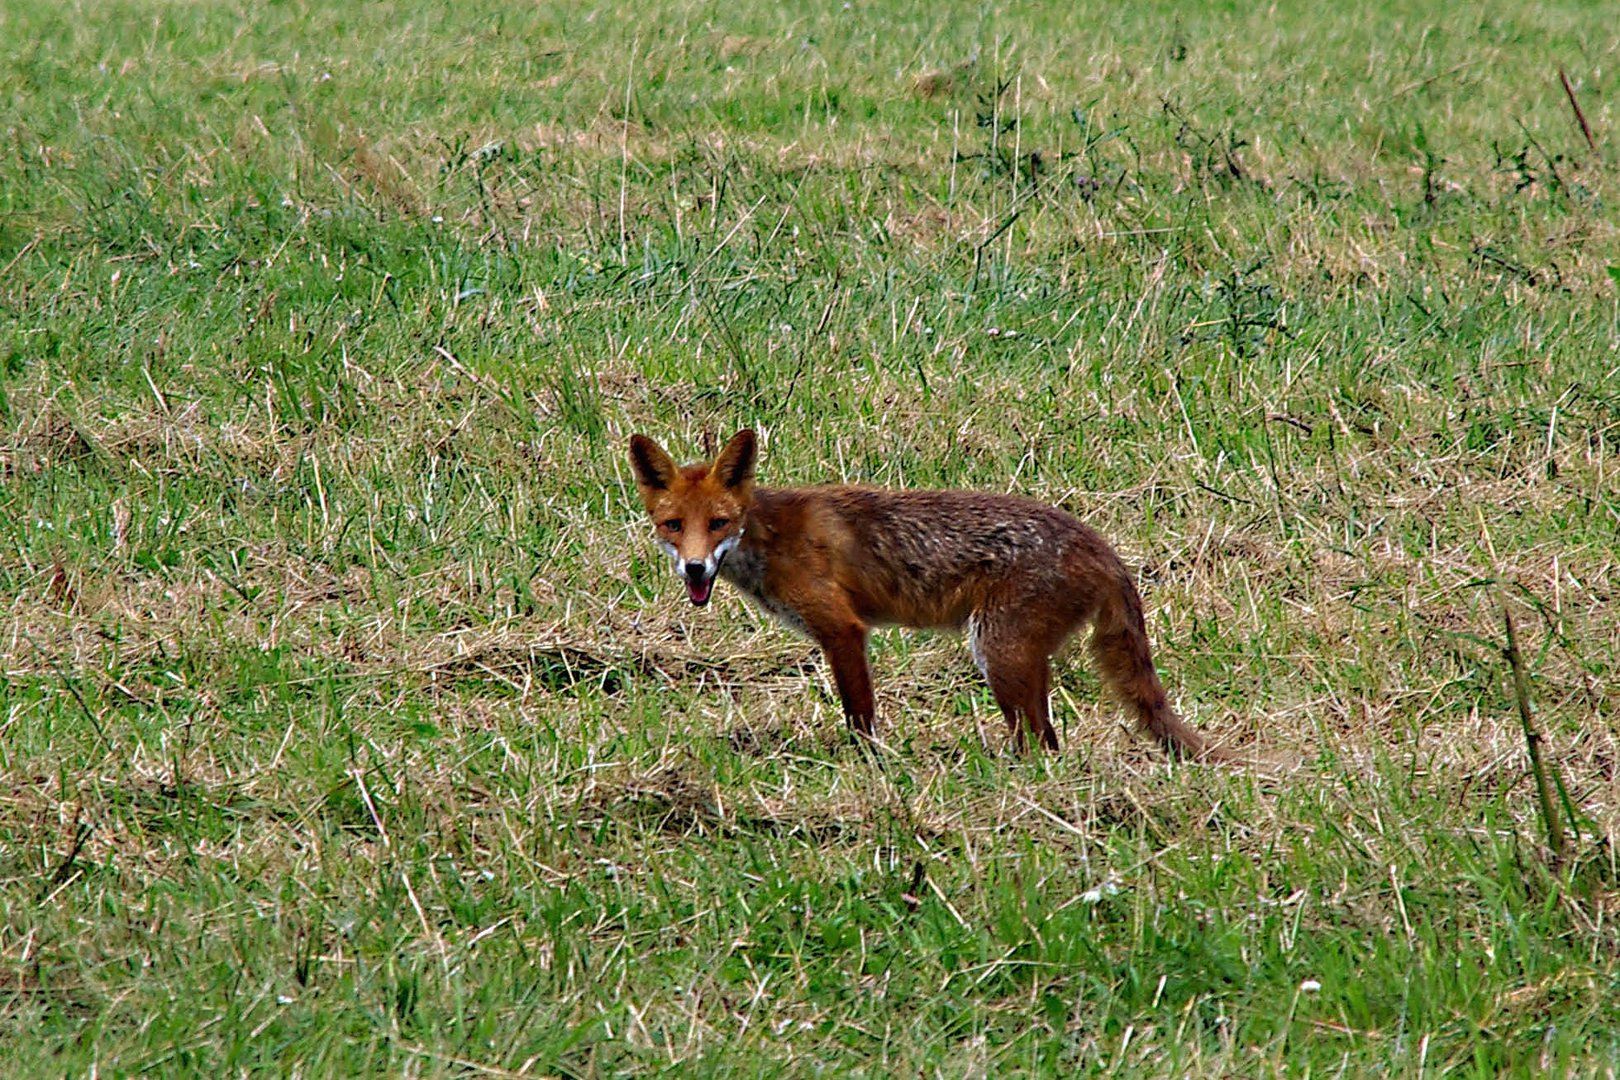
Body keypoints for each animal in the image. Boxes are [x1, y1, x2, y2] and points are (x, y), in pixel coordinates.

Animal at [625, 430, 1218, 761]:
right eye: (673, 525)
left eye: (719, 523)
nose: (695, 567)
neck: (769, 537)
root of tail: (1103, 547)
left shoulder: (843, 629)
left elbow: (859, 717)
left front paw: (869, 767)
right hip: (1019, 660)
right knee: (1049, 740)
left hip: (998, 654)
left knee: (1042, 745)